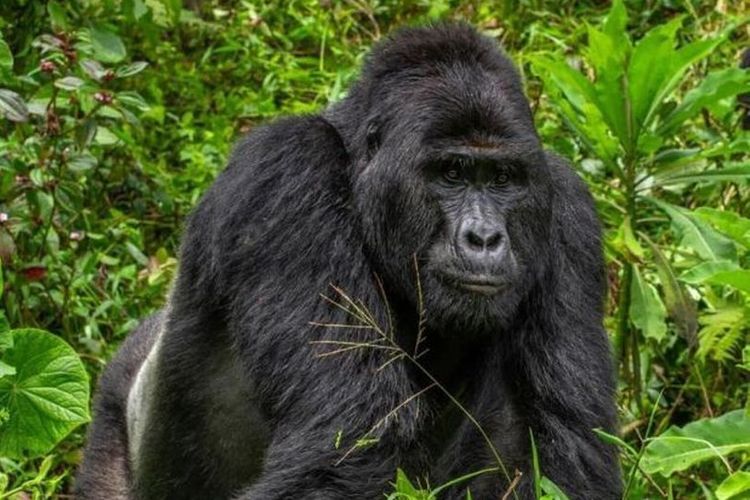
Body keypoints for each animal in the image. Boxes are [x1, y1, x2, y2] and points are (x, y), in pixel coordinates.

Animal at [76, 22, 624, 500]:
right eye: (451, 172)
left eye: (503, 178)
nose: (485, 238)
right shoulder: (289, 173)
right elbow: (346, 441)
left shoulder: (567, 210)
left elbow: (567, 451)